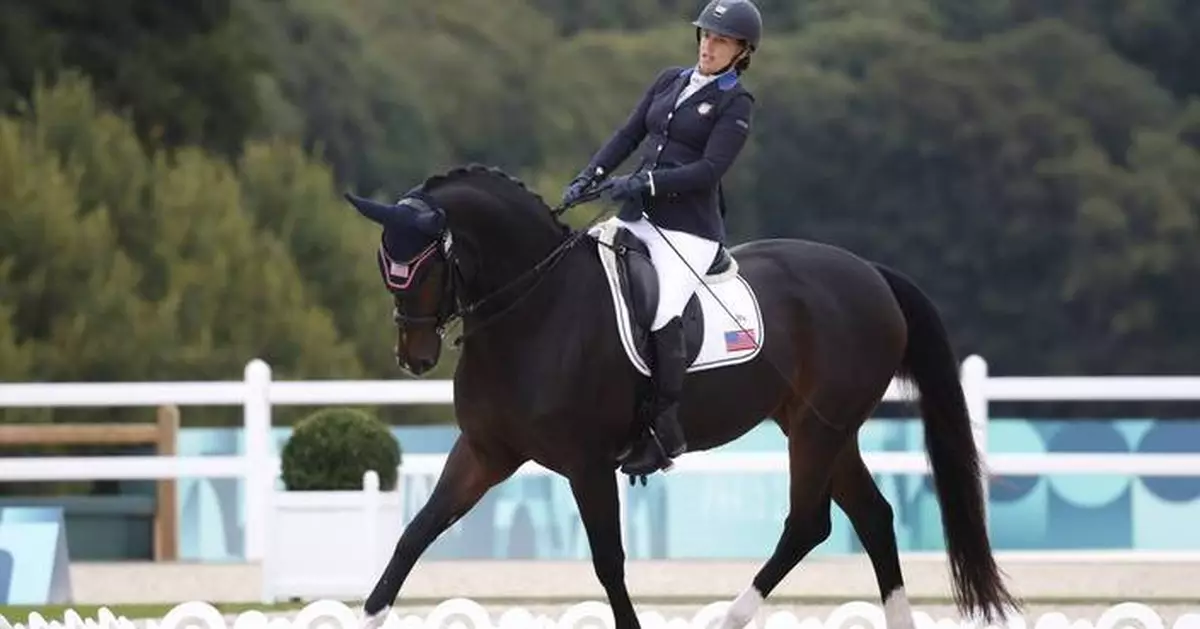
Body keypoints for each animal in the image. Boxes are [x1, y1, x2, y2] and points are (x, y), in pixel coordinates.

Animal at [343, 163, 1017, 629]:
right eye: (384, 264)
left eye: (425, 265)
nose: (414, 357)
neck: (536, 308)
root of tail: (872, 273)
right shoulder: (485, 452)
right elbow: (415, 534)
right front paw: (369, 614)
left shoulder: (587, 464)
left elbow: (608, 561)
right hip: (824, 425)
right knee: (873, 518)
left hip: (818, 429)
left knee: (807, 523)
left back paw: (730, 618)